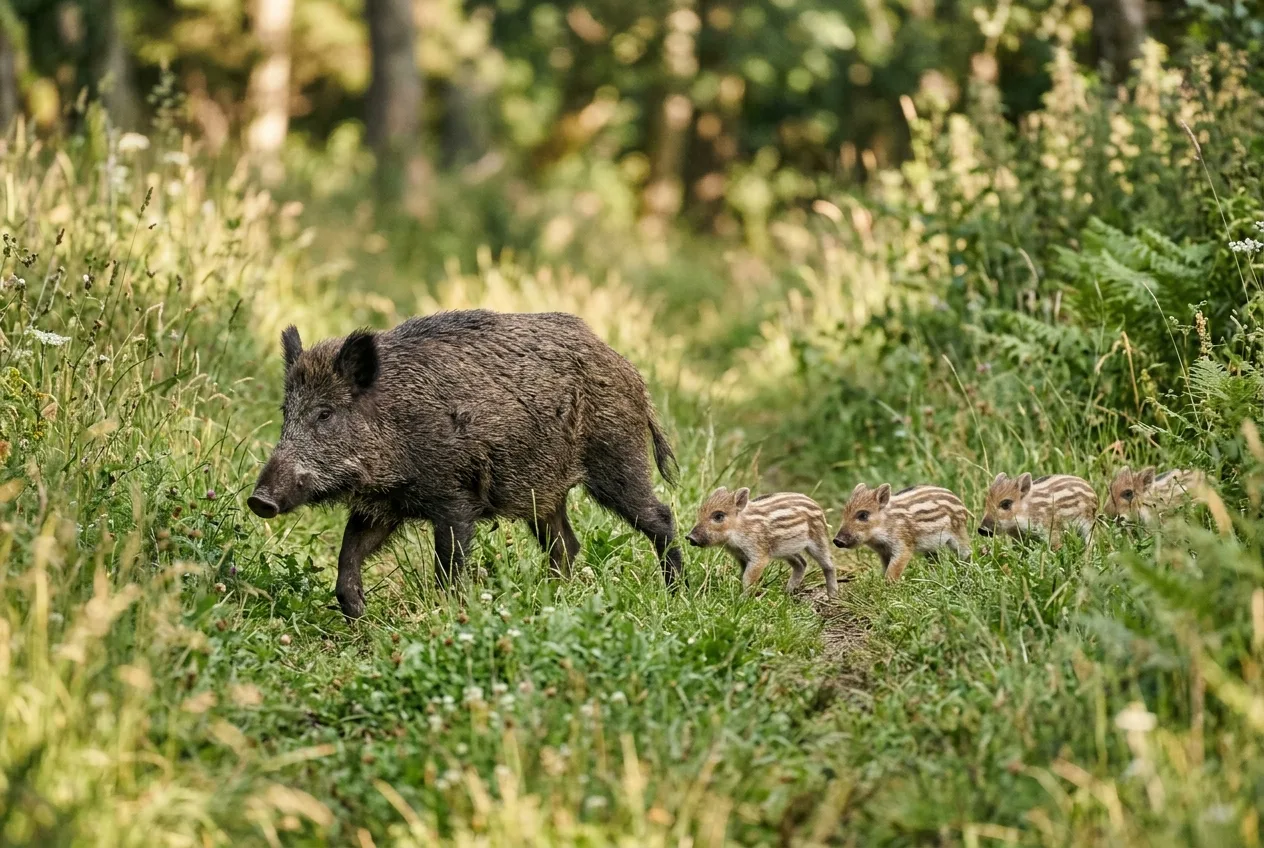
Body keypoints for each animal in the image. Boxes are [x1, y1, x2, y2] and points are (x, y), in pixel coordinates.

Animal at [248, 310, 681, 618]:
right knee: (566, 544)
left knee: (660, 516)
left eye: (324, 413)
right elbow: (349, 553)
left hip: (616, 457)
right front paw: (357, 614)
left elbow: (449, 566)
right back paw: (552, 597)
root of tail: (630, 372)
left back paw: (677, 594)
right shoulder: (383, 505)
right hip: (543, 491)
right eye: (286, 412)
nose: (259, 500)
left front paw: (449, 612)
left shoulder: (454, 498)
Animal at [685, 487, 838, 598]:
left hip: (818, 539)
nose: (690, 537)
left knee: (828, 564)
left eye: (718, 516)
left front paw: (742, 600)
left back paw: (832, 596)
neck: (738, 530)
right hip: (786, 549)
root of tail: (818, 506)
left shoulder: (759, 555)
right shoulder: (741, 556)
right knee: (801, 563)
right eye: (700, 512)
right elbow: (742, 576)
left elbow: (748, 578)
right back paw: (786, 594)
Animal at [832, 483, 970, 581]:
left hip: (959, 533)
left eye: (863, 515)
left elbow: (893, 572)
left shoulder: (903, 546)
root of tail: (959, 502)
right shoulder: (883, 552)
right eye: (844, 513)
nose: (837, 540)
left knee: (967, 551)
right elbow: (885, 570)